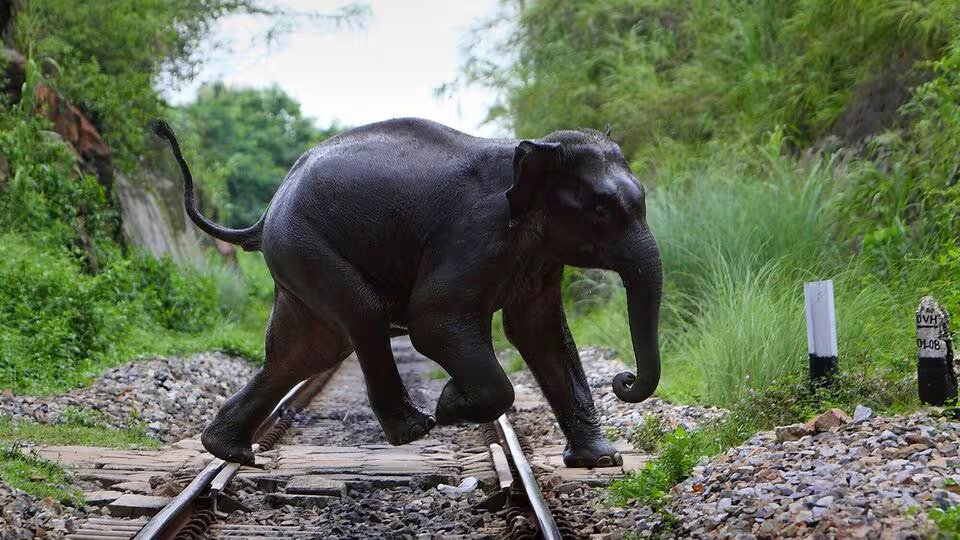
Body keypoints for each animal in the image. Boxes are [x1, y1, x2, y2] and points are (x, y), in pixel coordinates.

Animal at [150, 117, 662, 469]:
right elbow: (433, 322)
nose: (624, 381)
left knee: (306, 352)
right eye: (601, 210)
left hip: (297, 257)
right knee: (361, 316)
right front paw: (450, 404)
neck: (535, 150)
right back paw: (417, 427)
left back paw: (228, 452)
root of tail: (264, 216)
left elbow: (540, 333)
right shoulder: (474, 233)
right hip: (307, 245)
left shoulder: (539, 255)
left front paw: (601, 461)